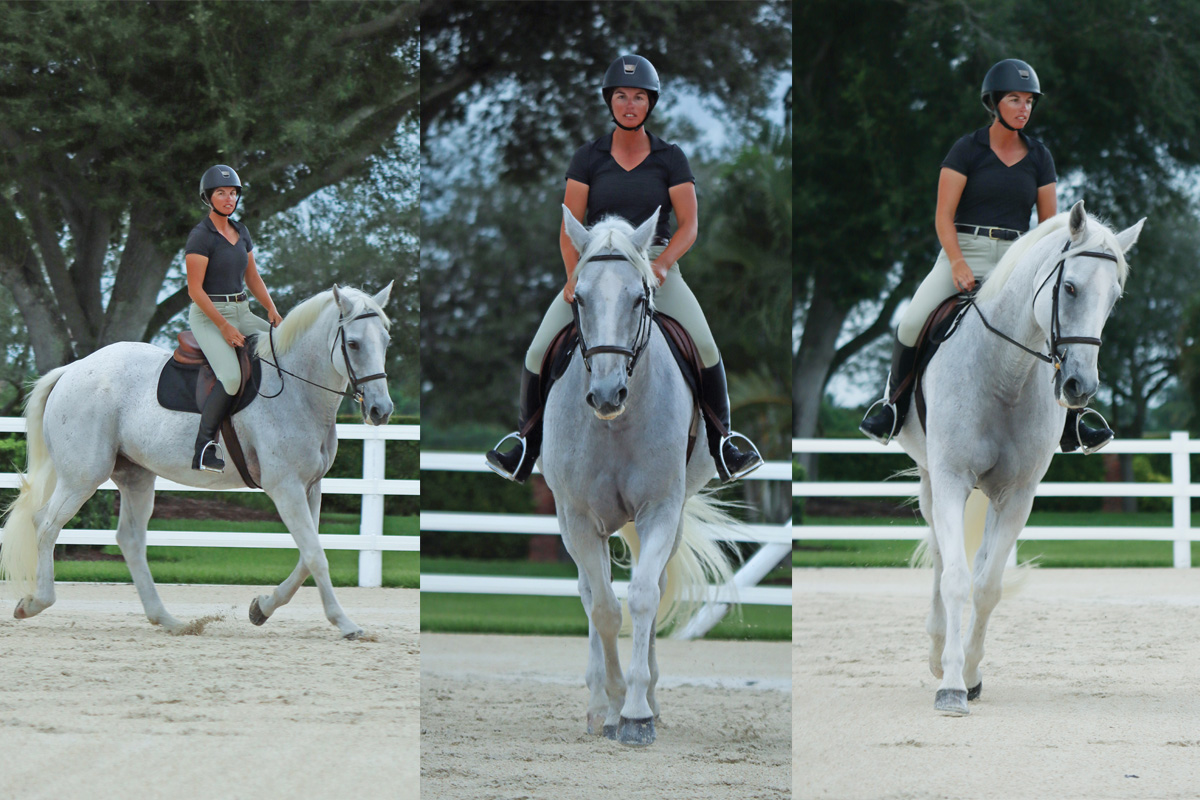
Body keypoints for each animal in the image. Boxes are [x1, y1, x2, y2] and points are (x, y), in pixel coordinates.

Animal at [0, 284, 393, 642]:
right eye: (353, 344)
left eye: (386, 341)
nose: (381, 410)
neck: (296, 389)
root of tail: (73, 370)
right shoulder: (286, 488)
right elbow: (315, 555)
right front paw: (346, 624)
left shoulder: (310, 487)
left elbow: (306, 558)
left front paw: (261, 608)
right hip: (82, 476)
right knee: (46, 524)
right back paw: (34, 603)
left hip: (135, 476)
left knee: (130, 539)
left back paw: (169, 621)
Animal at [540, 206, 734, 743]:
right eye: (580, 297)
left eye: (638, 298)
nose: (608, 394)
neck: (615, 426)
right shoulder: (579, 520)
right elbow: (605, 608)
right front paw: (611, 706)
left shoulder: (660, 510)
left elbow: (644, 597)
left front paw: (636, 713)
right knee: (591, 594)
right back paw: (596, 705)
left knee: (655, 586)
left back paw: (647, 698)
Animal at [902, 201, 1142, 714]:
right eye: (1069, 288)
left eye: (1113, 298)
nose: (1080, 387)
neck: (1003, 374)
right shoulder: (951, 478)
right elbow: (956, 579)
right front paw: (951, 685)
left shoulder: (1016, 496)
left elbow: (987, 586)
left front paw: (971, 674)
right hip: (931, 479)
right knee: (940, 554)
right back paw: (937, 649)